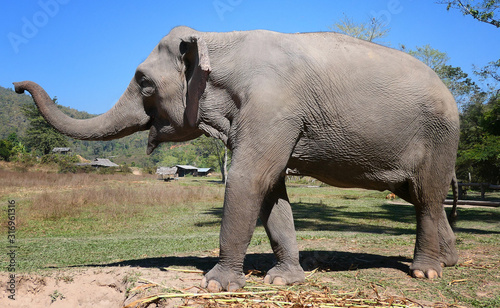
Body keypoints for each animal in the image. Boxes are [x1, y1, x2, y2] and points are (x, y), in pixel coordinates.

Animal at [14, 25, 460, 292]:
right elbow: (271, 193)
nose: (17, 85)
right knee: (424, 197)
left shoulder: (274, 108)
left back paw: (425, 271)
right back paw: (449, 262)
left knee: (427, 194)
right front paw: (283, 280)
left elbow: (248, 180)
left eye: (143, 82)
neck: (219, 39)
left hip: (440, 136)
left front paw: (215, 285)